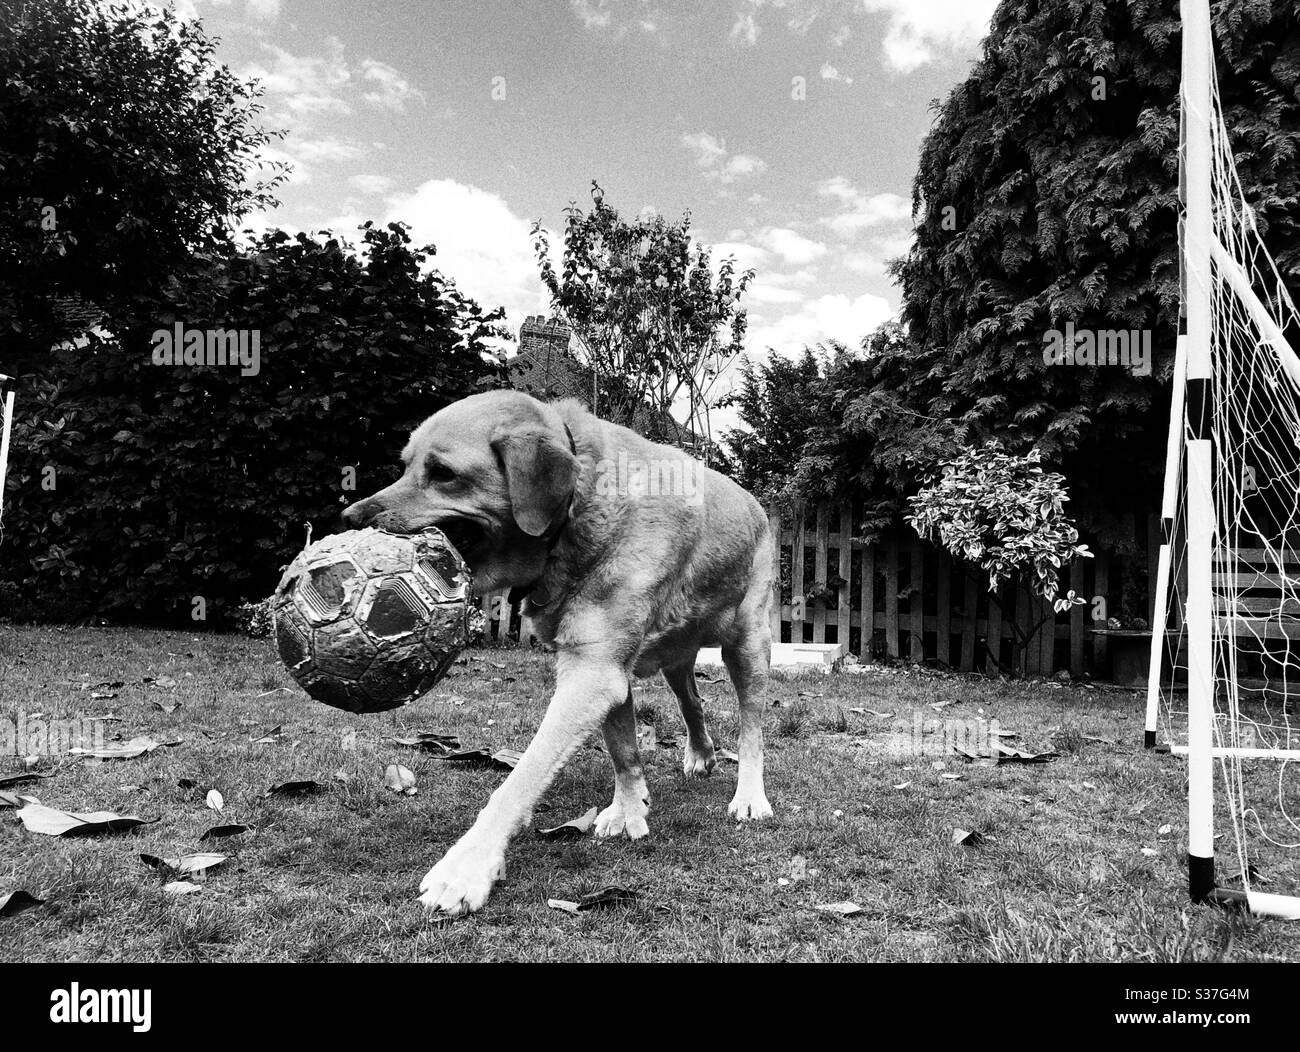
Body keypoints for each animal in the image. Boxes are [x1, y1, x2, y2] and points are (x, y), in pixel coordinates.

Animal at [340, 390, 774, 915]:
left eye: (442, 473)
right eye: (404, 467)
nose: (349, 520)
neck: (577, 511)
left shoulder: (592, 673)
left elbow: (522, 778)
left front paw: (465, 868)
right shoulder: (602, 665)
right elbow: (623, 747)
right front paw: (629, 808)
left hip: (748, 644)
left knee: (751, 727)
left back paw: (750, 796)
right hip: (676, 652)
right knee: (691, 699)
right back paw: (700, 754)